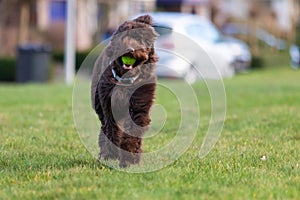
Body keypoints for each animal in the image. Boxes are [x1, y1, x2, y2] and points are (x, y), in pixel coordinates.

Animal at [90, 14, 158, 167]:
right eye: (124, 36)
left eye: (140, 39)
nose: (130, 49)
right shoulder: (109, 104)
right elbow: (112, 129)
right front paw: (111, 154)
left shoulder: (139, 105)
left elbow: (132, 132)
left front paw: (129, 158)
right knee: (104, 128)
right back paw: (105, 153)